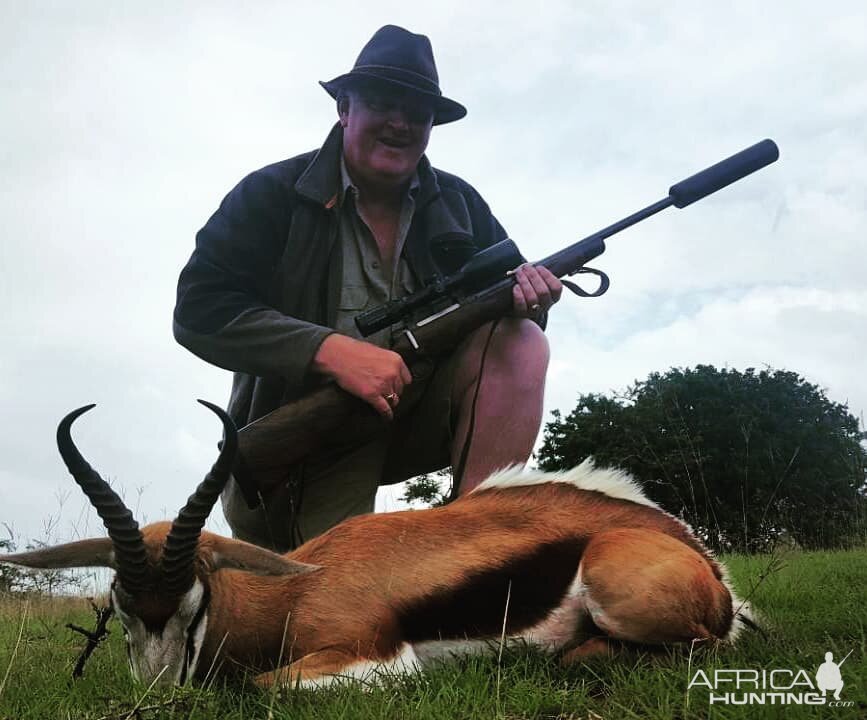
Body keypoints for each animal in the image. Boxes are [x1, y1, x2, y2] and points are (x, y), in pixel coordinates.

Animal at [3, 402, 756, 688]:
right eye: (120, 609)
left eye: (193, 606)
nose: (159, 695)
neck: (297, 587)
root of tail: (698, 556)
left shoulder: (377, 659)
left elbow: (259, 684)